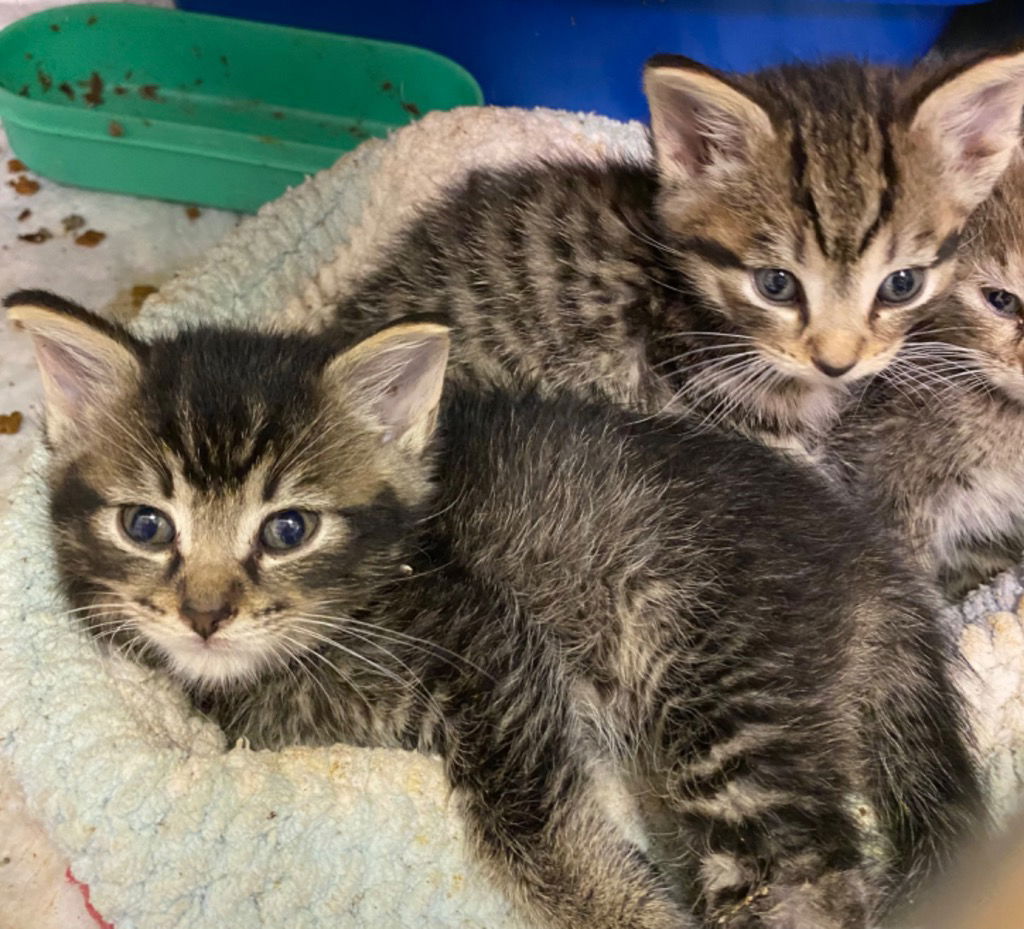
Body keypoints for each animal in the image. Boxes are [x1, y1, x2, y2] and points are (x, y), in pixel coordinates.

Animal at [12, 290, 978, 929]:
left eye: (288, 528)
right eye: (146, 525)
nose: (205, 614)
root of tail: (871, 566)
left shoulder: (488, 642)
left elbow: (527, 817)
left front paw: (618, 907)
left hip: (713, 669)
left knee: (808, 877)